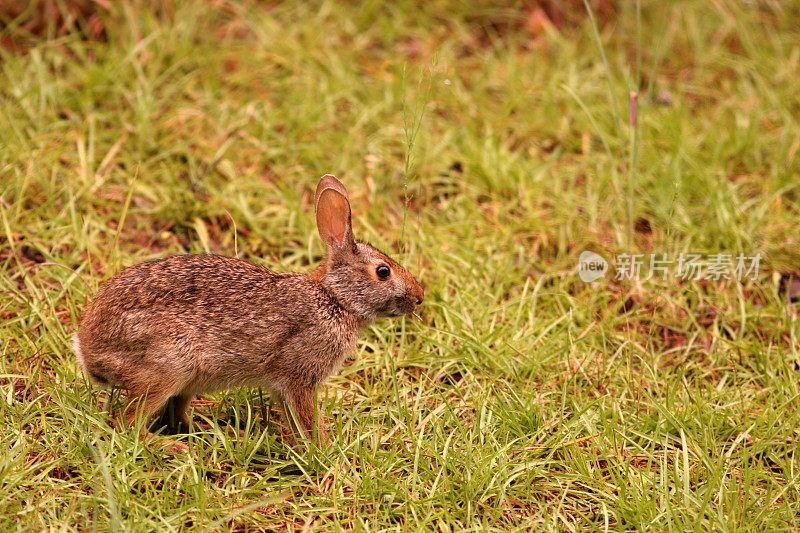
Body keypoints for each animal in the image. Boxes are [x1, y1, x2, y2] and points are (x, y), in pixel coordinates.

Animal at [74, 174, 424, 440]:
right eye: (383, 271)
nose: (419, 296)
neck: (334, 298)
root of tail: (88, 349)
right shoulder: (299, 376)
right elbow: (307, 417)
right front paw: (323, 450)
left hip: (186, 378)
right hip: (169, 363)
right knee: (128, 424)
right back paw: (174, 447)